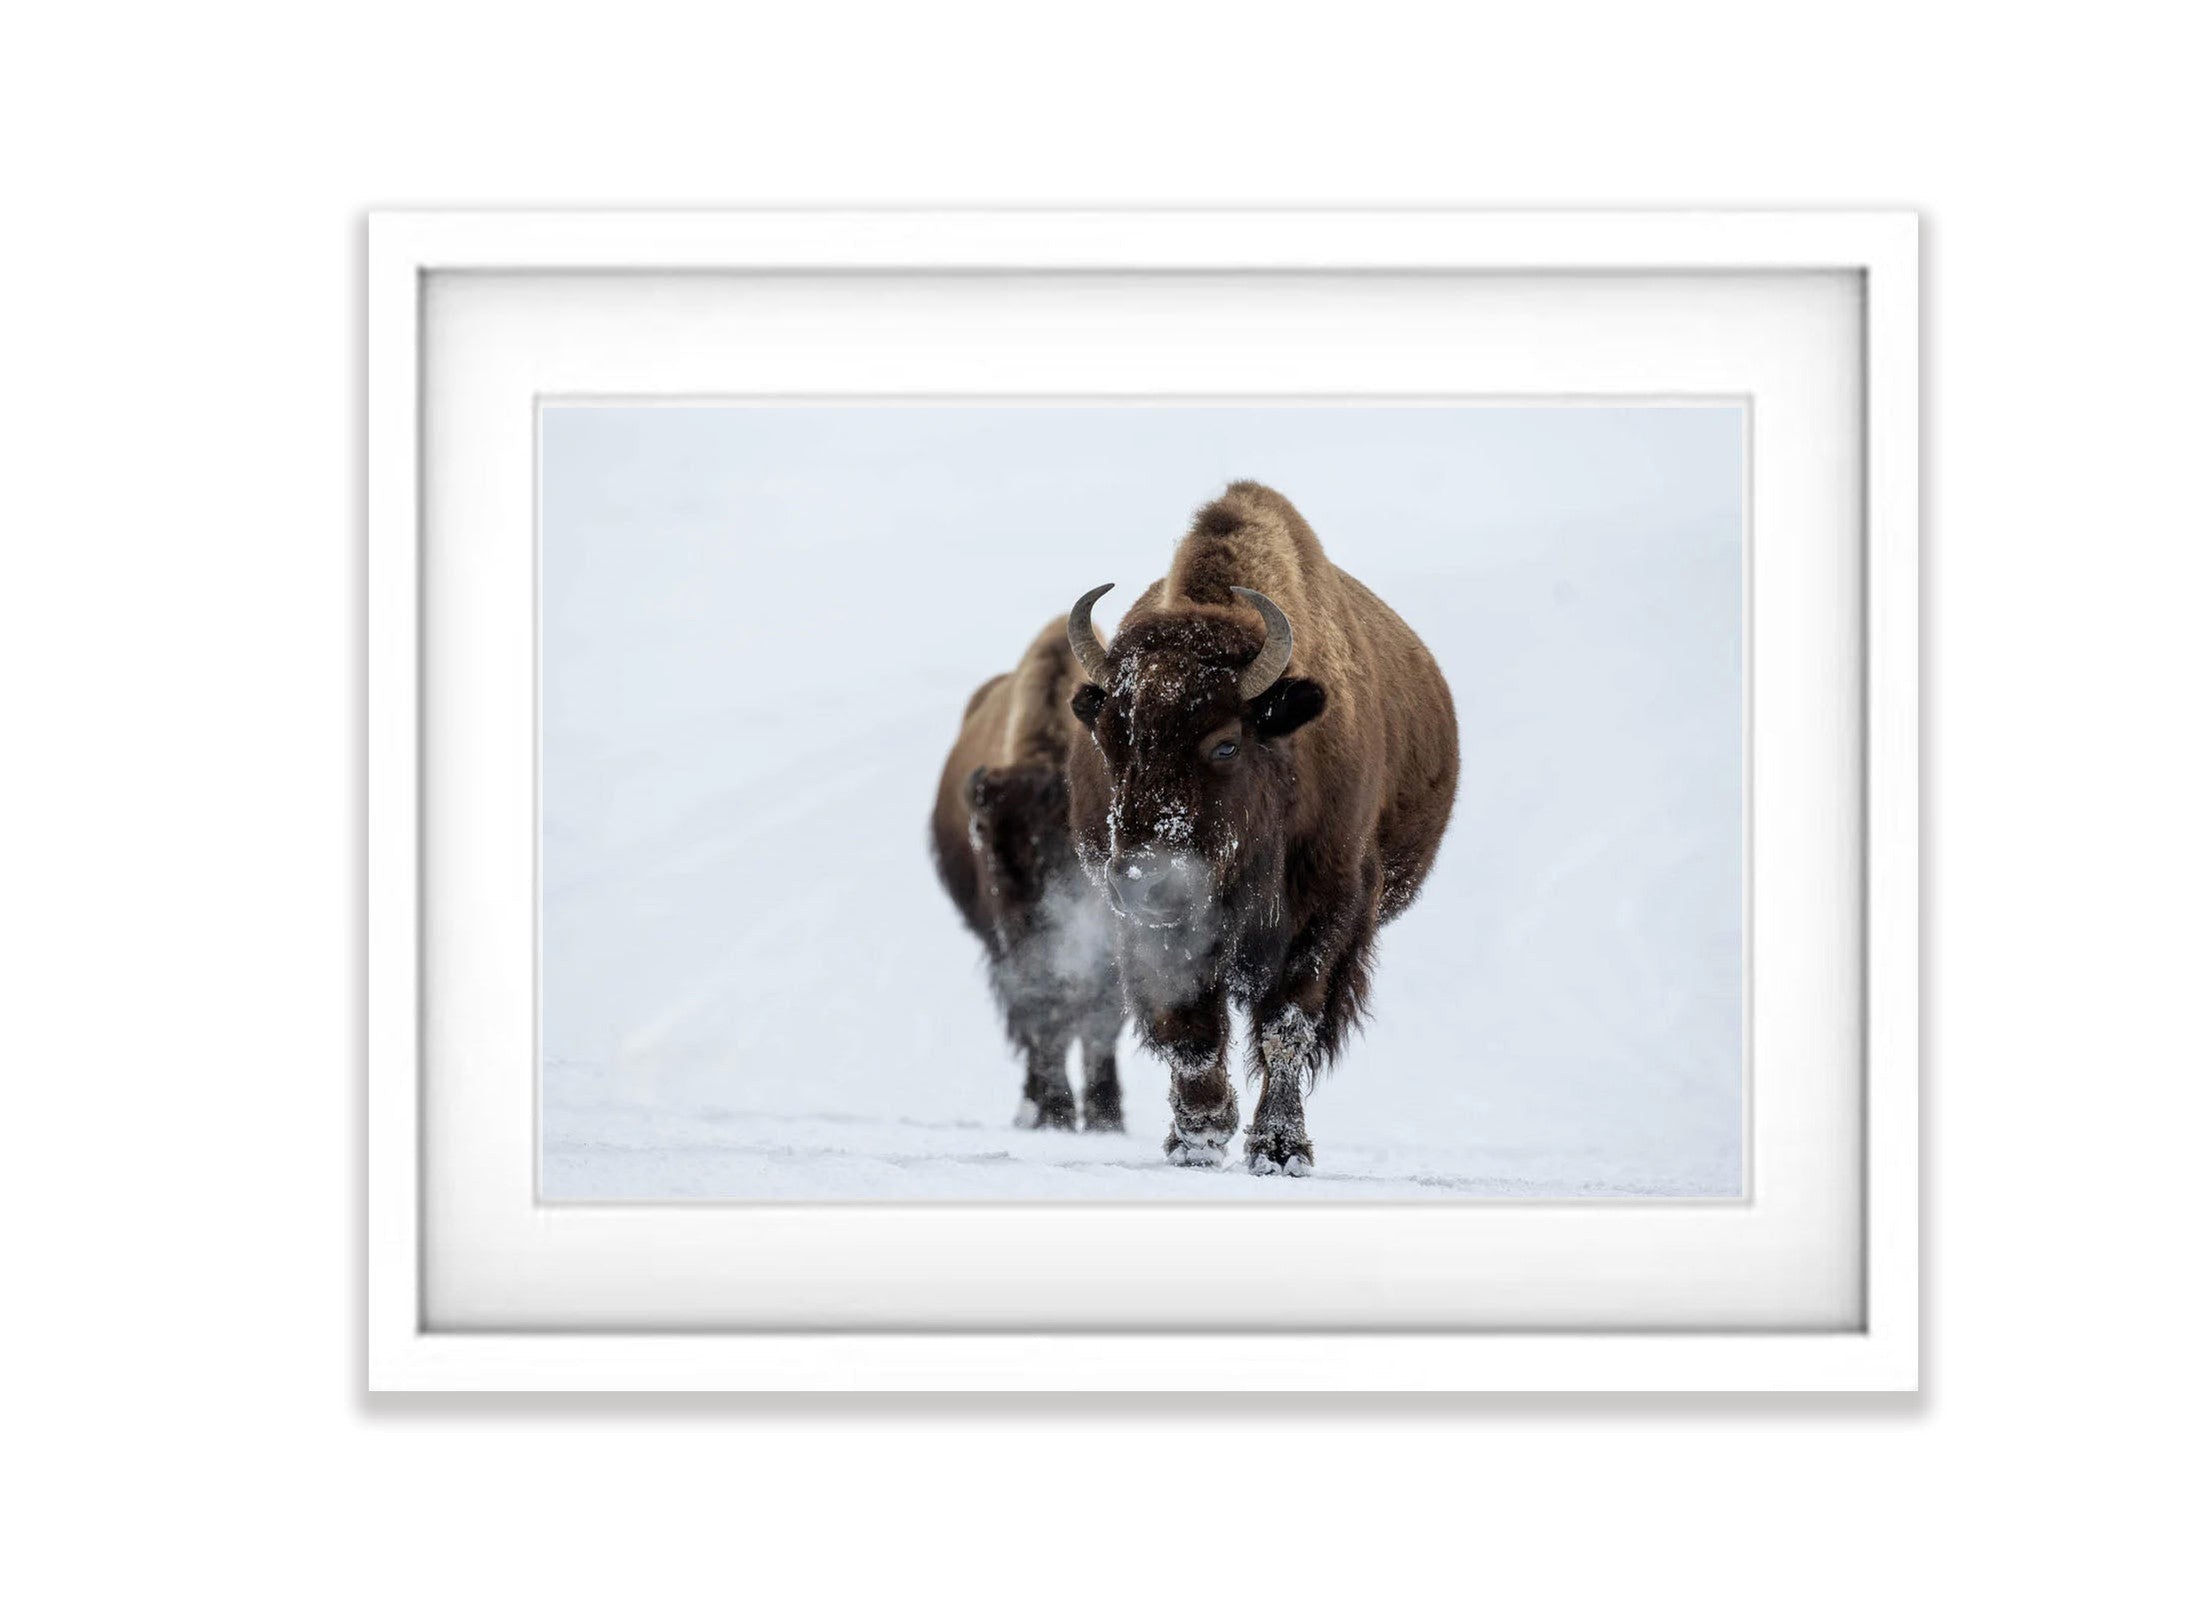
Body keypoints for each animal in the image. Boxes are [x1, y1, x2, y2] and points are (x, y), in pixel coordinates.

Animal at [932, 620, 1134, 1134]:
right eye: (984, 840)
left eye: (1074, 846)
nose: (1030, 913)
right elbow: (1044, 1015)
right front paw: (1057, 1111)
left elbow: (1101, 1017)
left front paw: (1105, 1117)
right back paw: (1036, 1107)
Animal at [1064, 481, 1460, 1170]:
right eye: (1111, 739)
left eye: (1226, 744)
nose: (1144, 879)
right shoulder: (1149, 929)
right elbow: (1187, 1023)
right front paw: (1199, 1135)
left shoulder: (1329, 909)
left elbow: (1286, 1025)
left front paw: (1280, 1148)